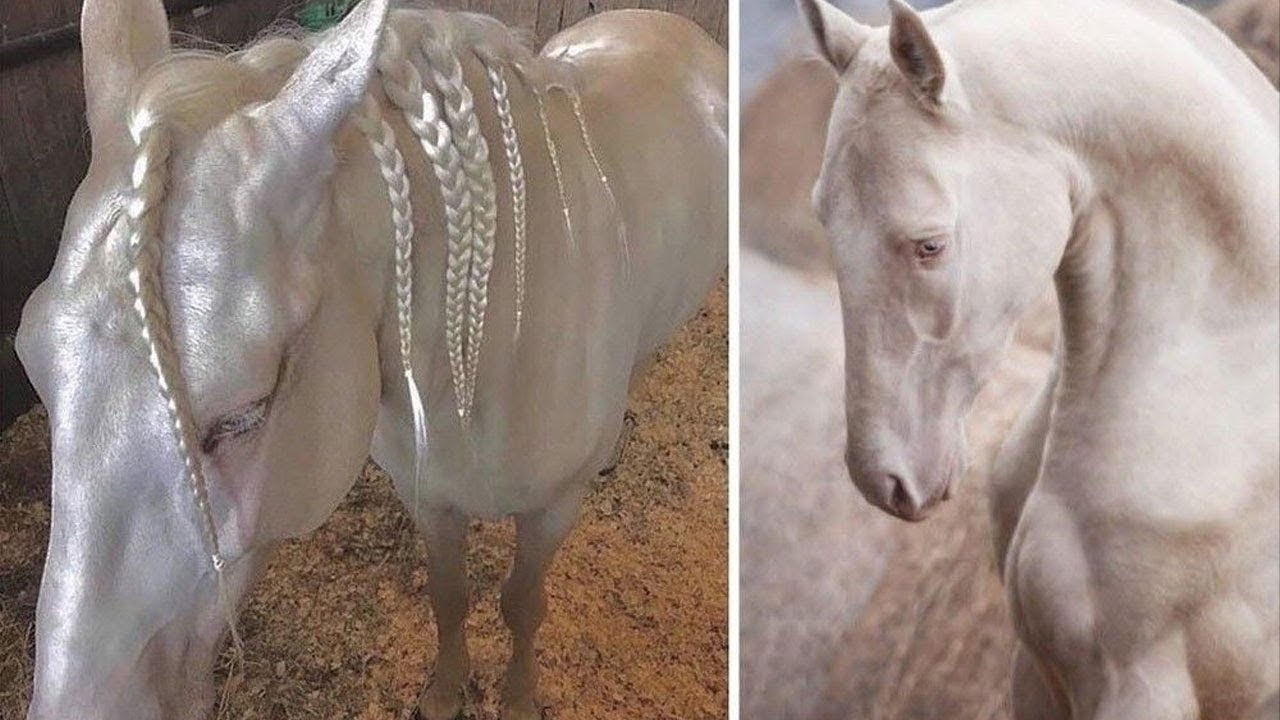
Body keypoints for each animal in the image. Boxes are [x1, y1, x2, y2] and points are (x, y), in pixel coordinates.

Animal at [13, 0, 726, 717]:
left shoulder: (553, 509)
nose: (81, 708)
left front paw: (520, 698)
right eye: (32, 362)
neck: (492, 355)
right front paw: (445, 691)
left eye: (246, 414)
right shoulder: (430, 497)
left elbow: (523, 605)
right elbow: (449, 596)